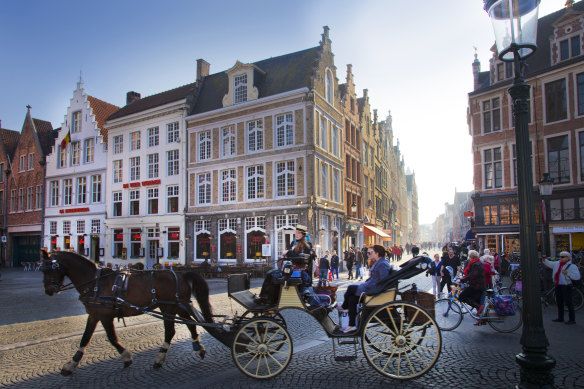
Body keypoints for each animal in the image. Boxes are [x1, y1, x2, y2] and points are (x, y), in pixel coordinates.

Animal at [41, 250, 214, 374]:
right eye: (42, 269)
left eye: (49, 268)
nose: (49, 290)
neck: (96, 282)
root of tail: (181, 273)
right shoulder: (94, 314)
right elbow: (86, 338)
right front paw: (71, 364)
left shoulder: (104, 315)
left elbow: (111, 337)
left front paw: (126, 357)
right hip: (176, 306)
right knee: (189, 323)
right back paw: (198, 348)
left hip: (168, 308)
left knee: (171, 330)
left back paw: (160, 359)